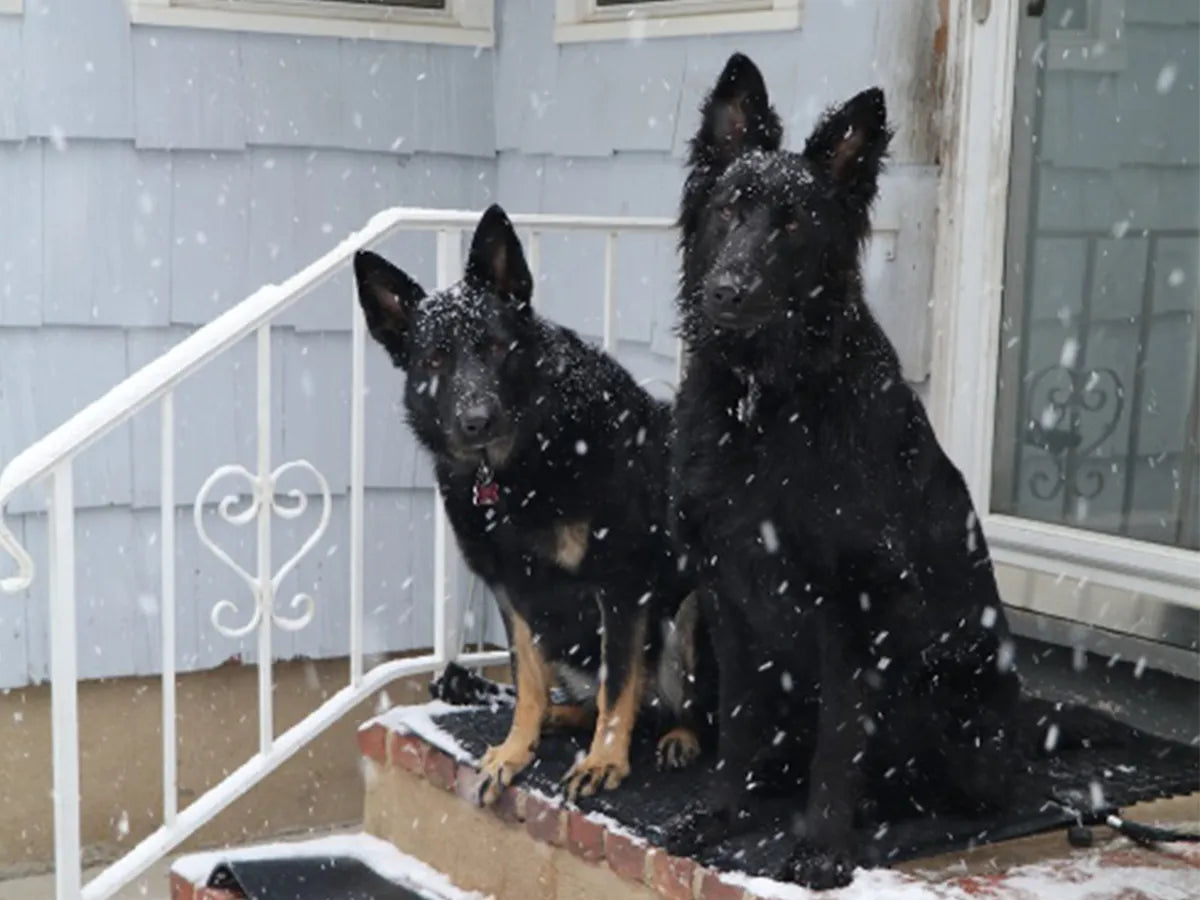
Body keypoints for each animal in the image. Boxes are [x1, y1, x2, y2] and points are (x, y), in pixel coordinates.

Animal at [352, 207, 700, 806]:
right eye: (435, 359)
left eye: (495, 347)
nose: (477, 421)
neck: (516, 468)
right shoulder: (512, 591)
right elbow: (528, 680)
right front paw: (518, 747)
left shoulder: (621, 584)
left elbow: (618, 682)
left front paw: (605, 759)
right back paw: (563, 717)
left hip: (697, 607)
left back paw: (681, 736)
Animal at [667, 54, 1022, 888]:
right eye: (729, 210)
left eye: (793, 225)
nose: (727, 291)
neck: (765, 400)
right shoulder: (727, 595)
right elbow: (740, 723)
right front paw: (721, 811)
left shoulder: (853, 605)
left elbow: (840, 737)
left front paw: (824, 845)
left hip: (950, 699)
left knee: (967, 794)